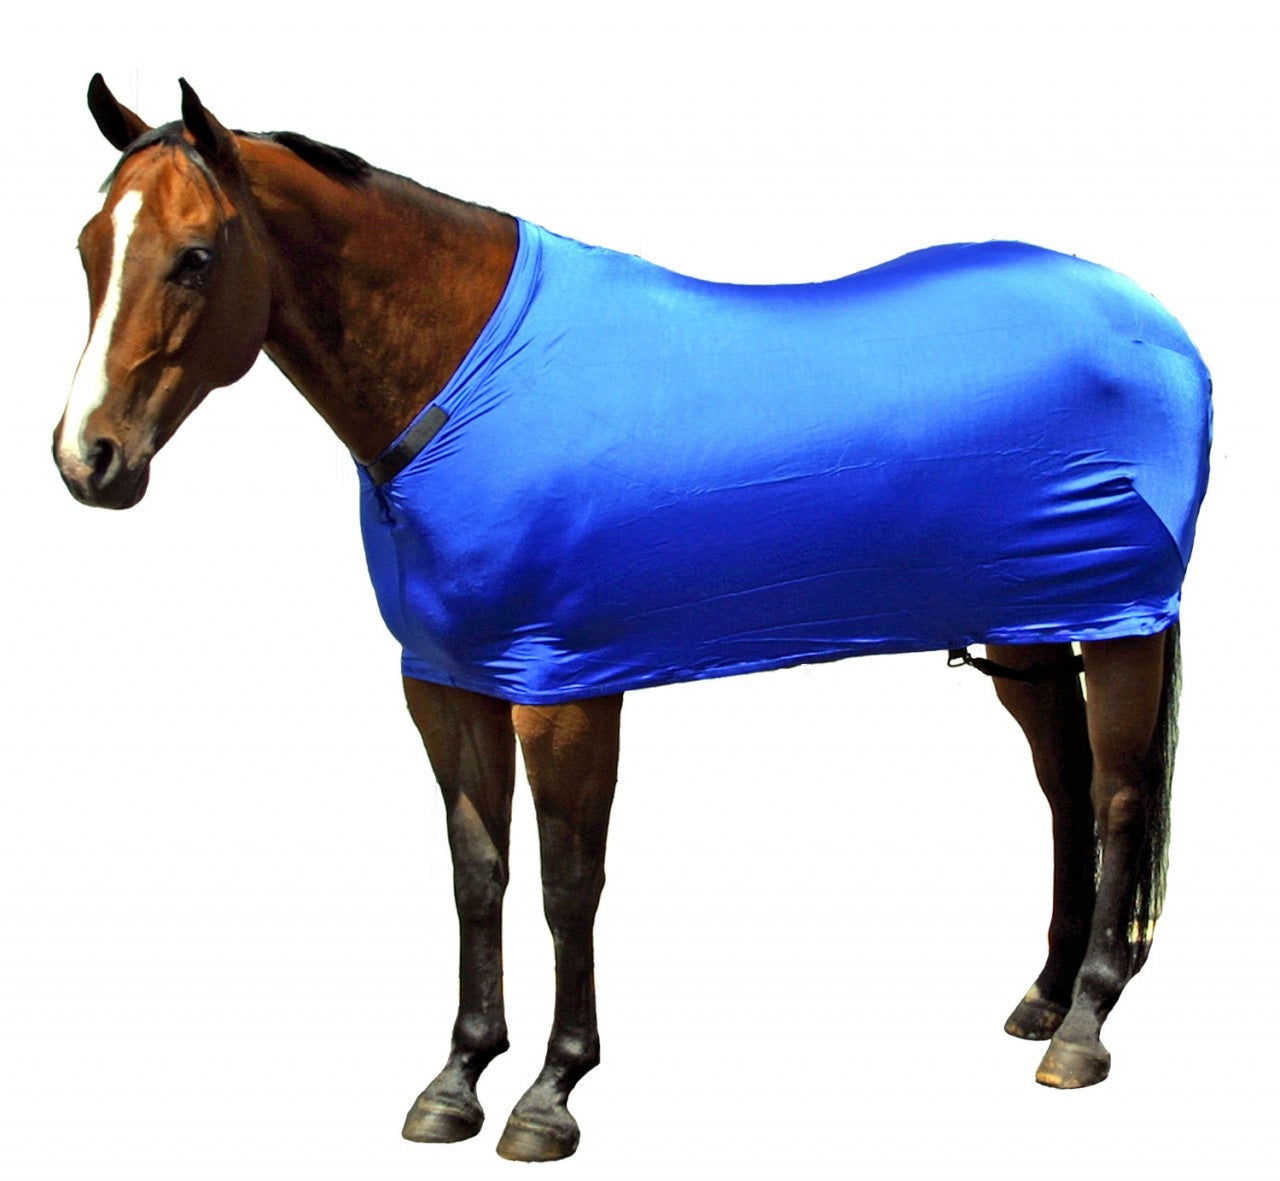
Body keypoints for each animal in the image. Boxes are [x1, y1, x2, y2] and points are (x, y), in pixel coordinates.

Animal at [53, 76, 1211, 1162]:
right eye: (87, 249)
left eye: (195, 256)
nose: (86, 458)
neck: (465, 385)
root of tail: (1153, 322)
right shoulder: (446, 683)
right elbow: (478, 873)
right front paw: (457, 1077)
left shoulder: (563, 687)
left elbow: (569, 883)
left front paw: (550, 1091)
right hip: (1032, 626)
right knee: (1062, 789)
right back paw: (1043, 996)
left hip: (1122, 626)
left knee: (1114, 796)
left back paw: (1084, 1024)